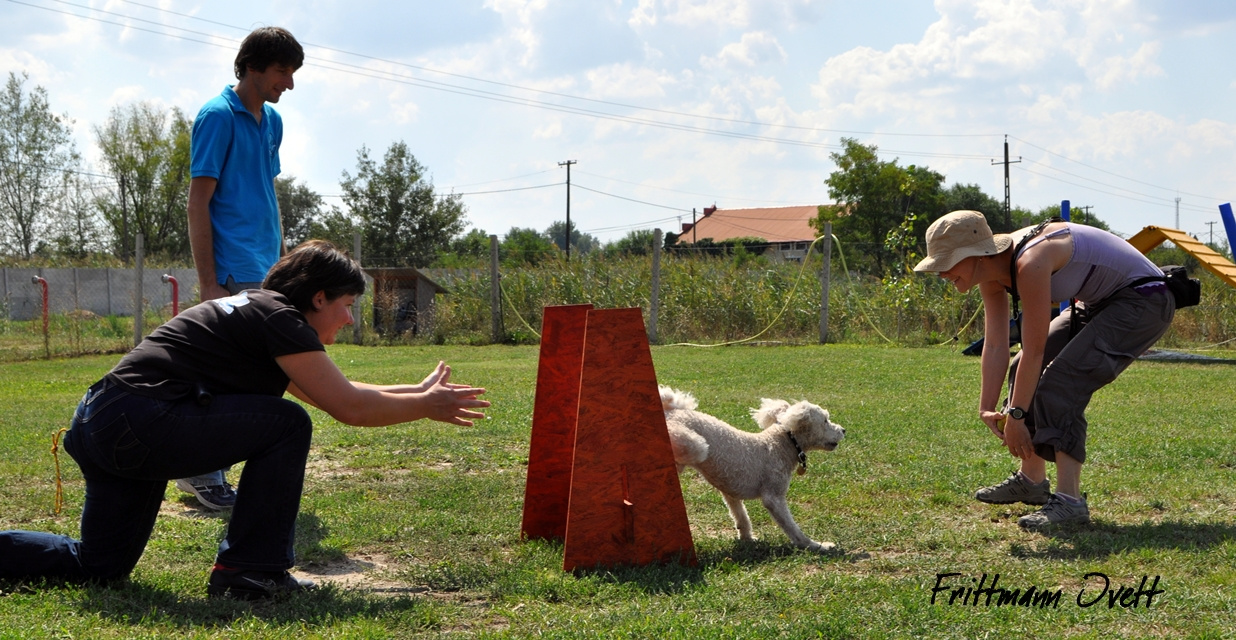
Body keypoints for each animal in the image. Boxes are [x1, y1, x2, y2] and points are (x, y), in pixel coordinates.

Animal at [662, 385, 845, 555]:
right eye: (825, 420)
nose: (844, 430)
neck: (780, 445)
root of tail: (671, 412)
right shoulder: (774, 496)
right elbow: (792, 527)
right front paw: (816, 546)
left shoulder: (730, 489)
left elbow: (741, 516)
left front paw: (747, 539)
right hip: (694, 445)